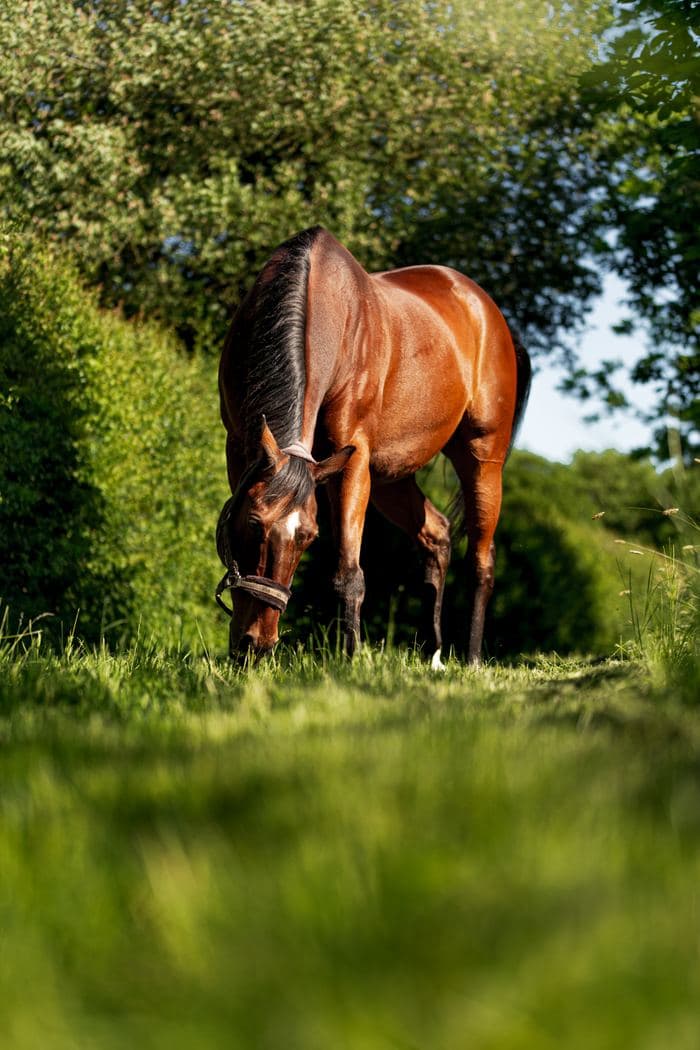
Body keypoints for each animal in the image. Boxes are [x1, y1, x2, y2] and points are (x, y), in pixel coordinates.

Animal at [216, 226, 530, 665]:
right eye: (253, 523)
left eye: (308, 537)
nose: (256, 644)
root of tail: (492, 317)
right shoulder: (240, 446)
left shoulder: (352, 458)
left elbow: (349, 573)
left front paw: (349, 659)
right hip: (389, 478)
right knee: (437, 534)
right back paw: (433, 653)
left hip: (482, 460)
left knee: (481, 561)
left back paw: (470, 658)